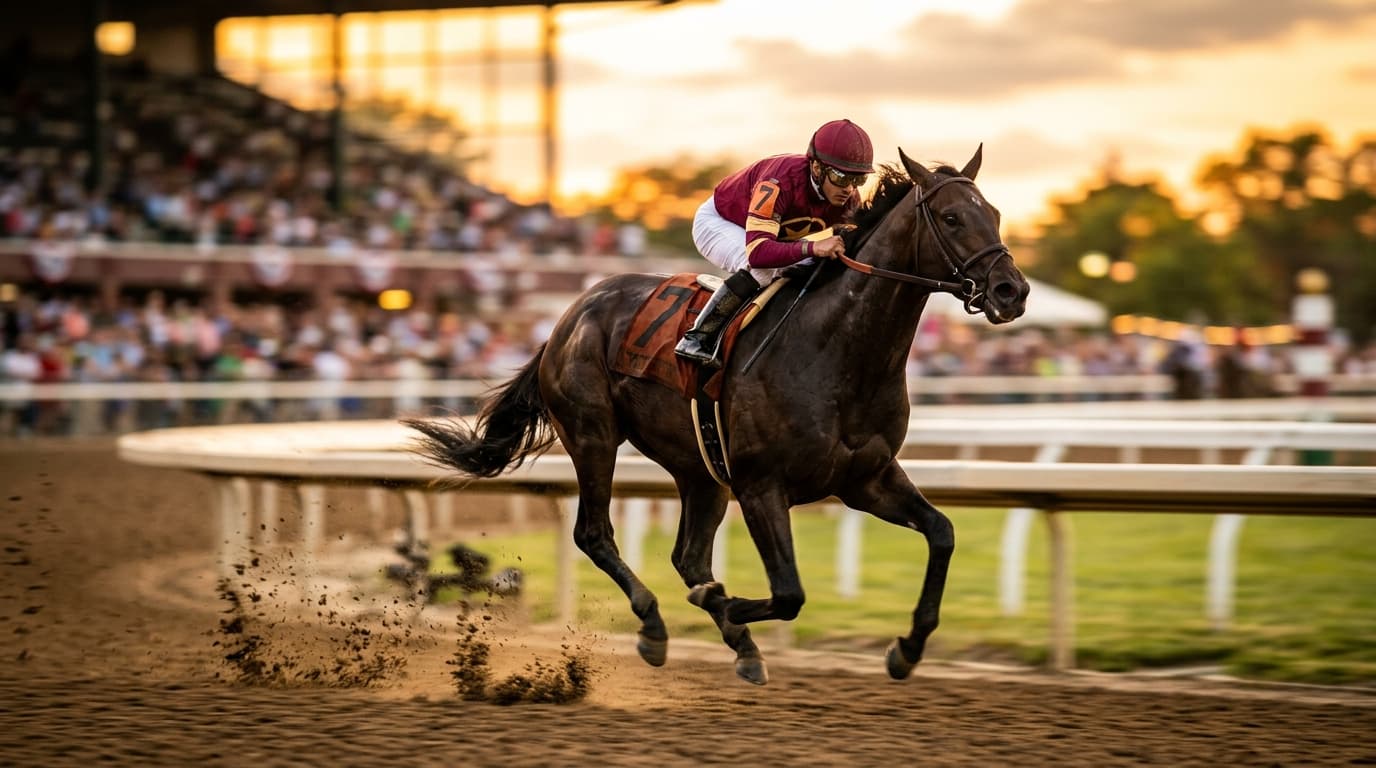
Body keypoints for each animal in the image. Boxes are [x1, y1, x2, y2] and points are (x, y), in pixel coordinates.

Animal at [406, 146, 1029, 685]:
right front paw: (722, 603)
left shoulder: (865, 479)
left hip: (700, 469)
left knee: (688, 556)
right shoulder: (760, 485)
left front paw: (907, 648)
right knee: (595, 533)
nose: (1012, 290)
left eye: (995, 214)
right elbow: (789, 594)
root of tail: (569, 315)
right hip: (593, 435)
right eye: (951, 217)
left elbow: (942, 533)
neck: (839, 355)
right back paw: (657, 625)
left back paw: (741, 646)